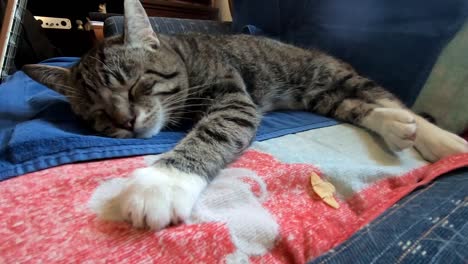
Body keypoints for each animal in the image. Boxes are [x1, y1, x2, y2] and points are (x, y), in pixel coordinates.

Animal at [22, 0, 468, 230]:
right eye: (98, 112)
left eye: (135, 86)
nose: (127, 122)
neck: (183, 57)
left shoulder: (234, 98)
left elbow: (212, 132)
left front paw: (163, 182)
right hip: (320, 96)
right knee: (360, 108)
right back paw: (396, 129)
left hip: (328, 73)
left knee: (388, 98)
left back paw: (442, 140)